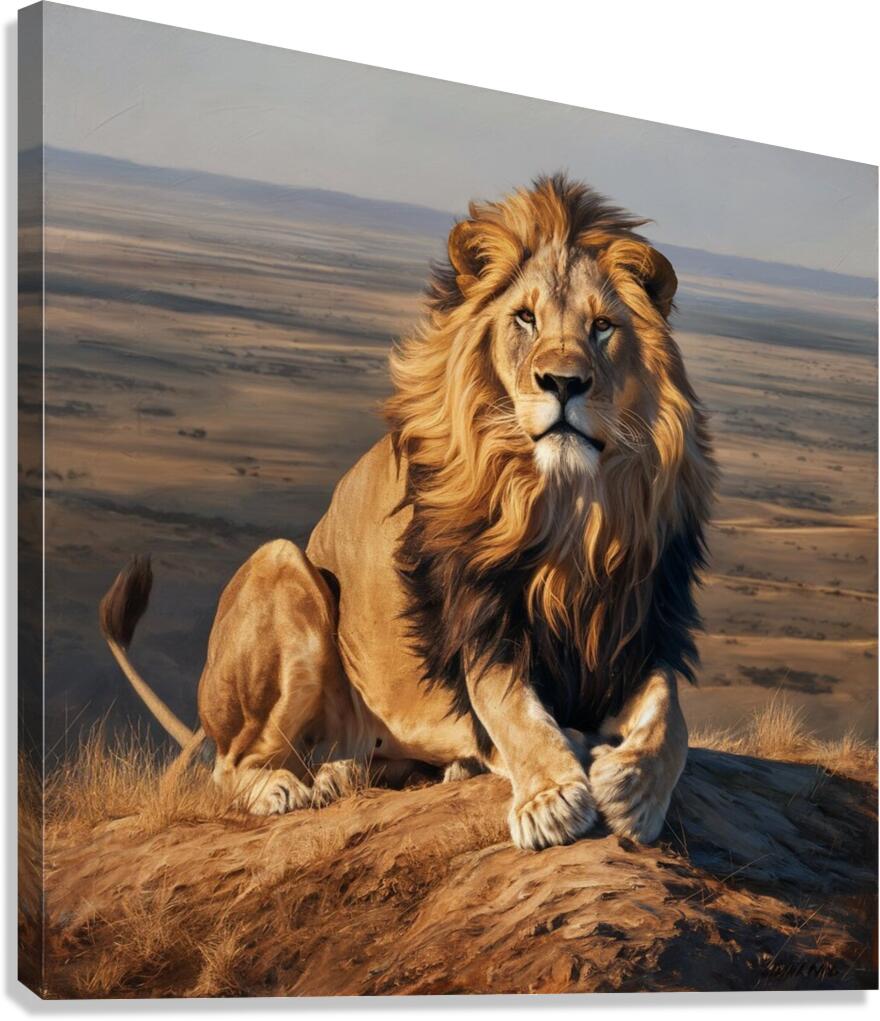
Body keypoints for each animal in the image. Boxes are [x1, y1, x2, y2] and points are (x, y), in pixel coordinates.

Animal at [100, 174, 716, 850]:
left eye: (603, 327)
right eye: (524, 318)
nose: (562, 382)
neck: (569, 510)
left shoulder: (637, 631)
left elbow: (671, 717)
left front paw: (634, 789)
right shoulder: (479, 623)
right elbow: (511, 705)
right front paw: (551, 796)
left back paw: (371, 773)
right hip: (282, 565)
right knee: (233, 764)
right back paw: (288, 787)